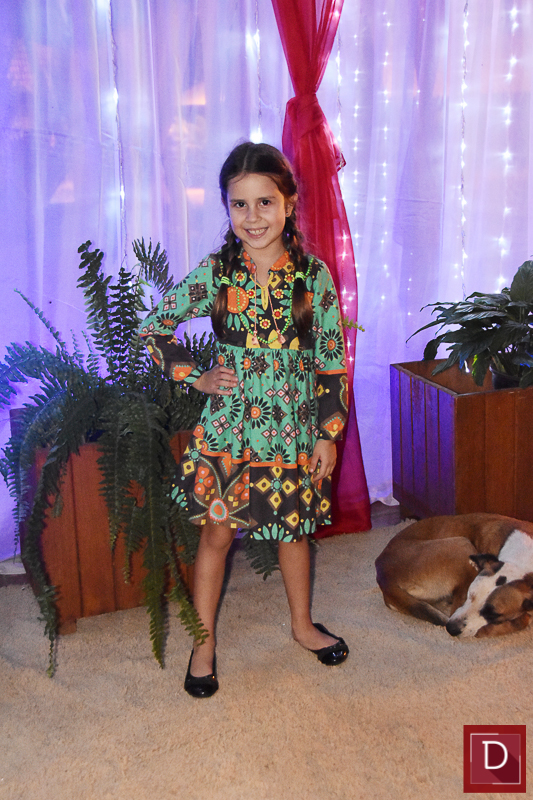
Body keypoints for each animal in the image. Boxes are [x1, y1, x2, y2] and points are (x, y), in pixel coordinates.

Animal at [375, 513, 533, 638]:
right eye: (470, 594)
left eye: (493, 614)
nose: (451, 629)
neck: (521, 560)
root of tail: (383, 575)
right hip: (461, 544)